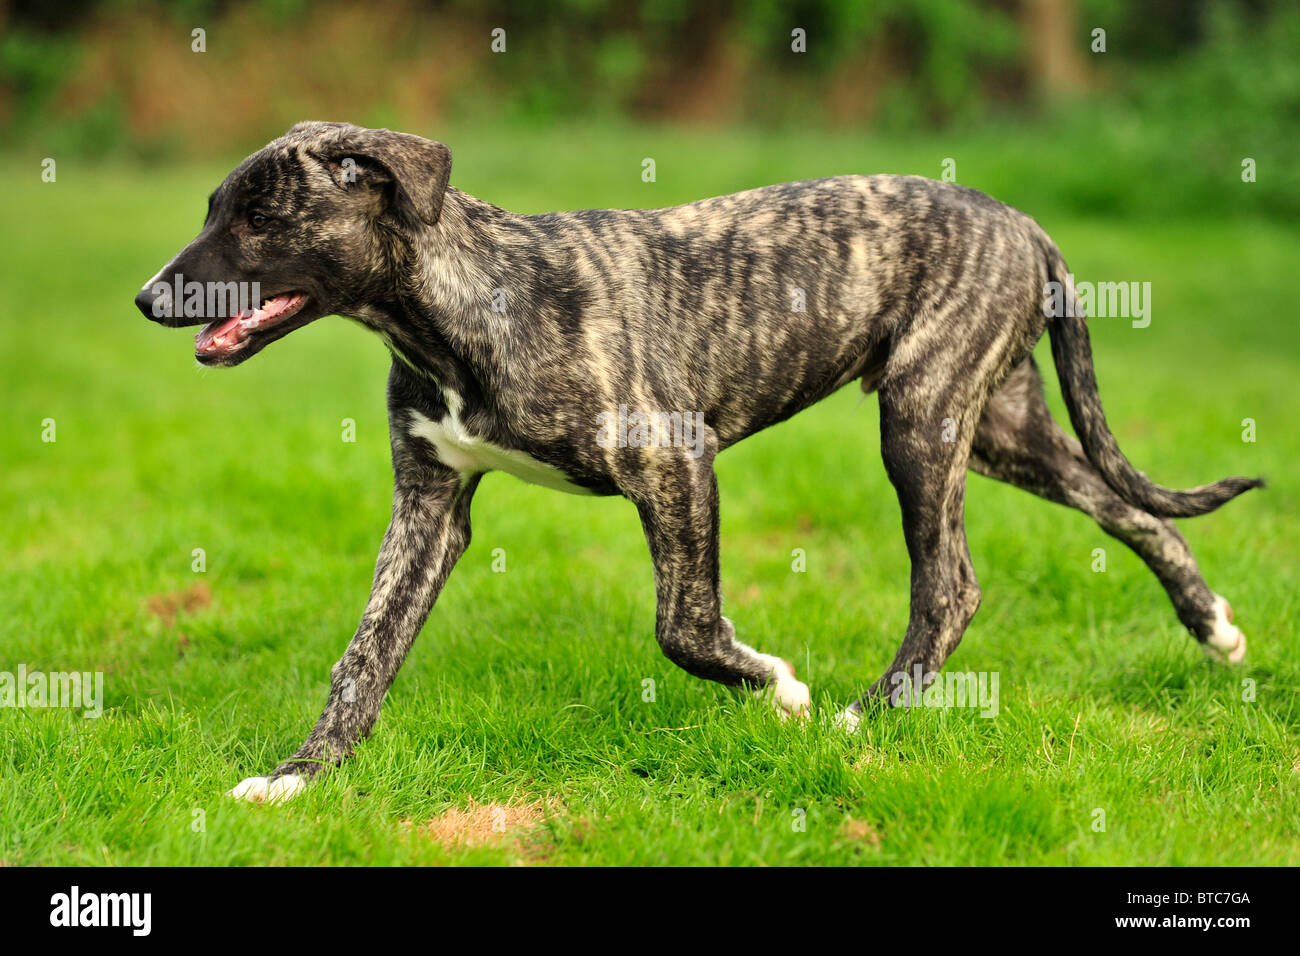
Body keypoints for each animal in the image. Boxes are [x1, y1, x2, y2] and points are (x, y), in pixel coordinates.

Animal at [134, 123, 1258, 806]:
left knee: (953, 583)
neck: (456, 308)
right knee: (1131, 510)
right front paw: (299, 777)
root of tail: (1022, 222)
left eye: (261, 216)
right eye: (214, 207)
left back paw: (864, 715)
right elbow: (364, 654)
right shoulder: (431, 504)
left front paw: (779, 688)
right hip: (997, 425)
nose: (147, 299)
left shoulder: (675, 461)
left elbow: (681, 624)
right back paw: (1214, 628)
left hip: (924, 417)